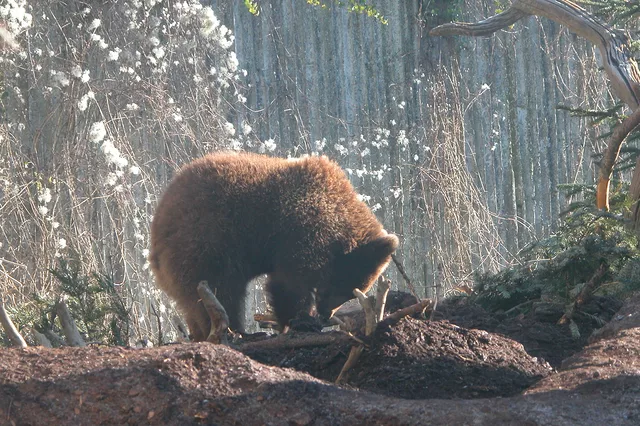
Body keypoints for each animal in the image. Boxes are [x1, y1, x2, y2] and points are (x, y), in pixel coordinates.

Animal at [149, 151, 398, 341]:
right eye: (342, 288)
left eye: (351, 293)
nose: (326, 314)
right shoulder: (299, 232)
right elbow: (289, 283)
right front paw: (300, 321)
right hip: (206, 239)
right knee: (220, 288)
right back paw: (237, 331)